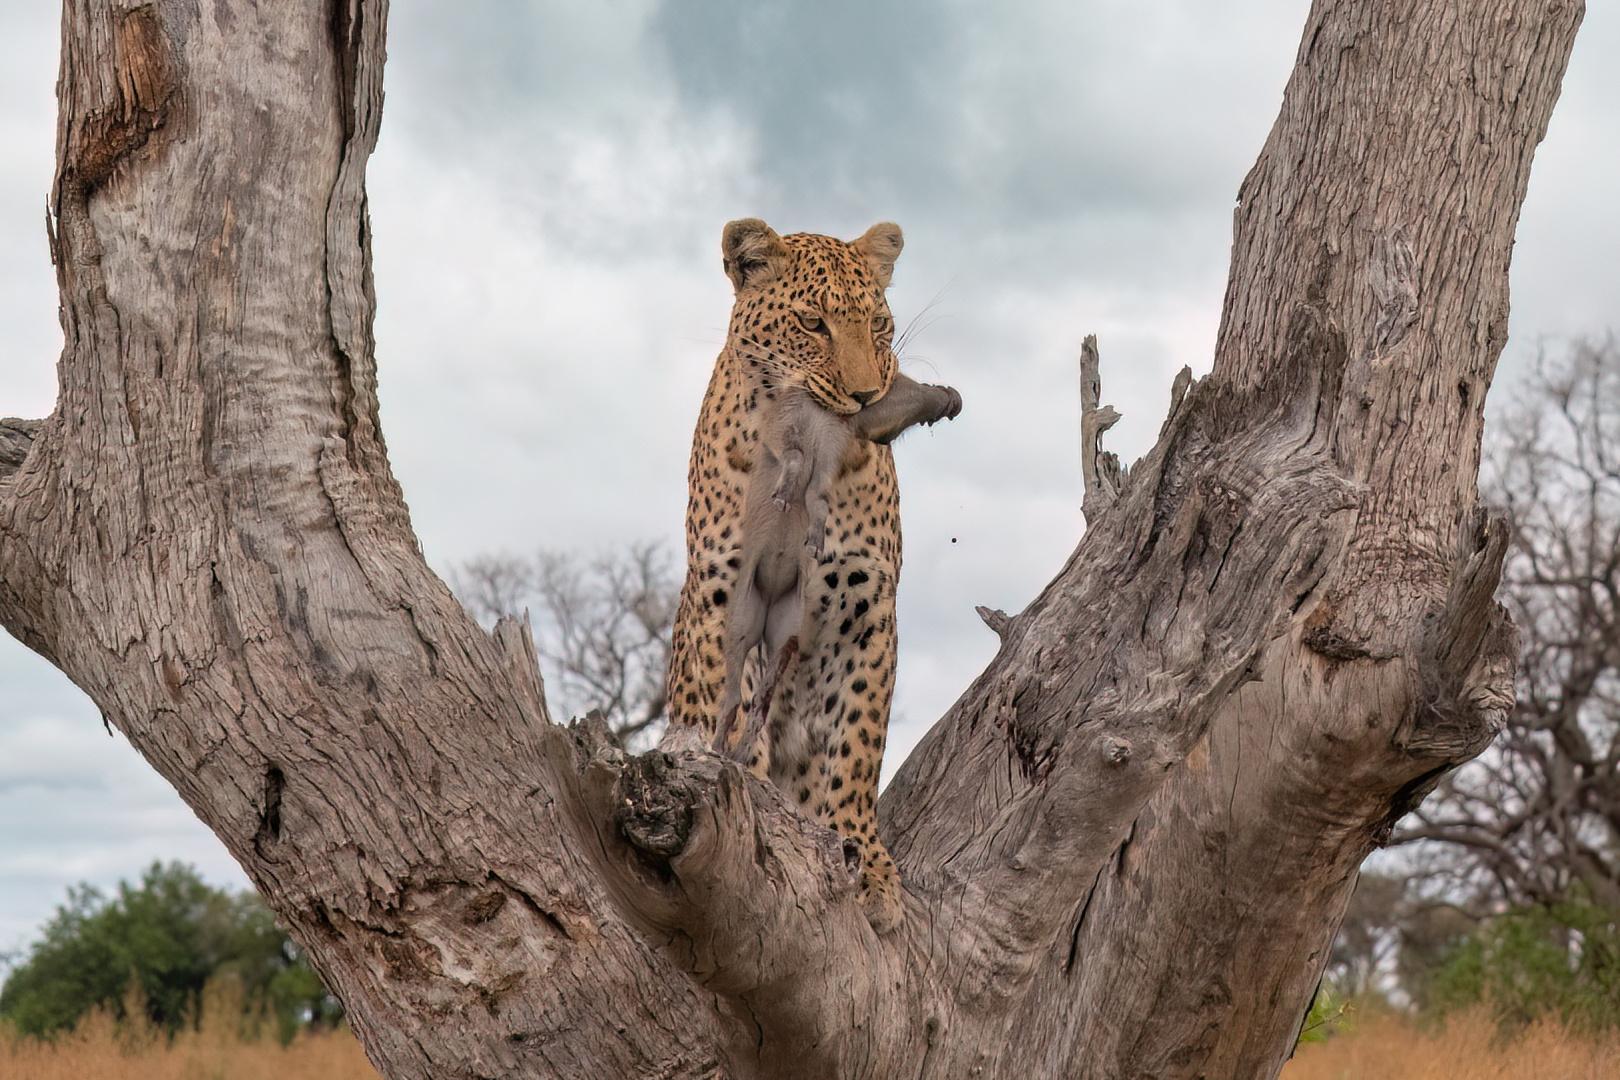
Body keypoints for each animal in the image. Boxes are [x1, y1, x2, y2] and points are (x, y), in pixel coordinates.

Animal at [664, 215, 952, 932]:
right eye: (814, 323)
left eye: (878, 324)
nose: (867, 395)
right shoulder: (724, 592)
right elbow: (734, 703)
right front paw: (758, 793)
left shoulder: (868, 609)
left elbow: (859, 741)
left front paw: (865, 858)